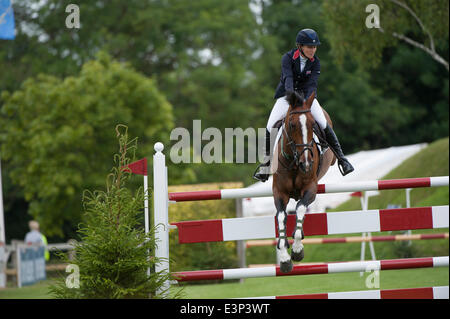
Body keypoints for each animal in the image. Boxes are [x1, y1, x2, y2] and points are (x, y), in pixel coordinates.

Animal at [268, 89, 336, 272]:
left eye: (313, 125)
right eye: (292, 125)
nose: (306, 163)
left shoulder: (310, 189)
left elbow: (299, 209)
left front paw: (297, 249)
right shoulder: (279, 192)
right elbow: (281, 217)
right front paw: (284, 258)